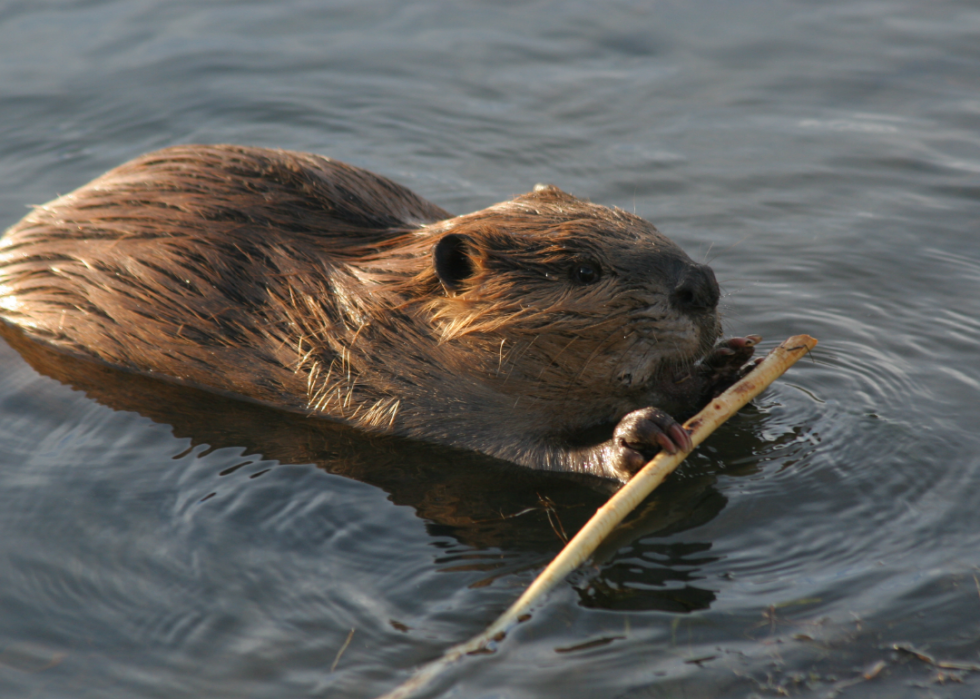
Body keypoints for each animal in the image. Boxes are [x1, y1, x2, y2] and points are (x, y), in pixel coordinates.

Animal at [0, 144, 756, 482]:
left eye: (644, 223)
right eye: (584, 270)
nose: (701, 285)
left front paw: (728, 362)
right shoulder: (401, 391)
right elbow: (513, 451)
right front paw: (636, 437)